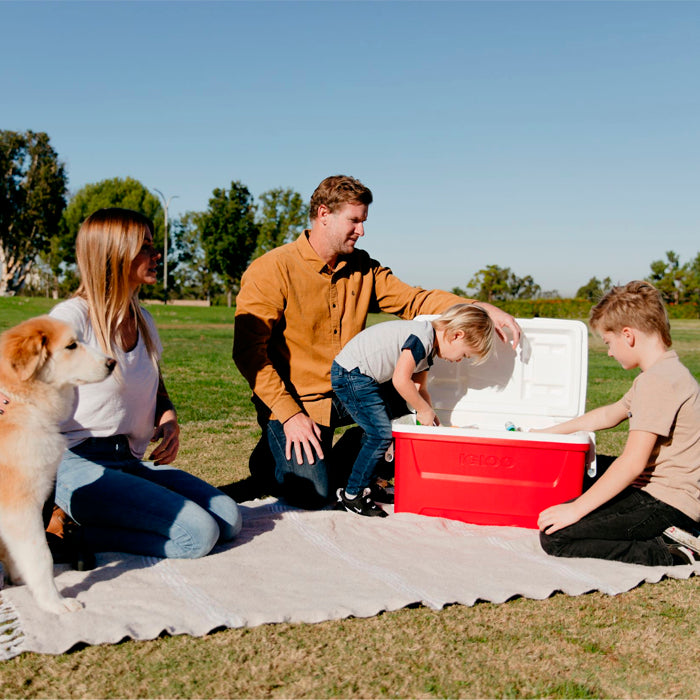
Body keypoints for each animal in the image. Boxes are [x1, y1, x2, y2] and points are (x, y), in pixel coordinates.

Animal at [0, 314, 115, 616]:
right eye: (71, 345)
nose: (112, 363)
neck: (19, 400)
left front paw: (19, 580)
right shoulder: (19, 508)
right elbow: (42, 557)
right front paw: (54, 603)